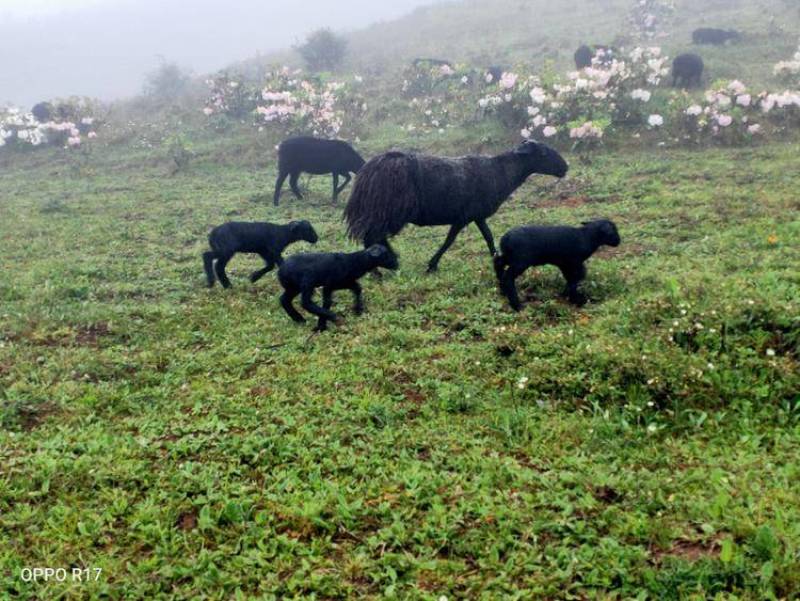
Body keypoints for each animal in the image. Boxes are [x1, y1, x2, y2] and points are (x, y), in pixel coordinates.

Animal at [344, 139, 568, 270]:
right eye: (543, 153)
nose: (565, 167)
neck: (500, 172)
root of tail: (370, 169)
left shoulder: (477, 215)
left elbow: (488, 236)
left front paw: (495, 257)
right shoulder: (463, 216)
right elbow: (449, 241)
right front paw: (432, 265)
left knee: (375, 237)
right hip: (389, 210)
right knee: (372, 236)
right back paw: (380, 269)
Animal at [490, 218, 620, 310]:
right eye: (613, 230)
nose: (619, 241)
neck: (586, 236)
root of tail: (505, 239)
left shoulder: (564, 263)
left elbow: (570, 278)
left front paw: (566, 295)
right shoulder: (574, 262)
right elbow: (577, 277)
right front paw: (577, 300)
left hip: (511, 257)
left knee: (498, 262)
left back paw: (503, 290)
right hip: (521, 261)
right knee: (507, 277)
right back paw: (517, 305)